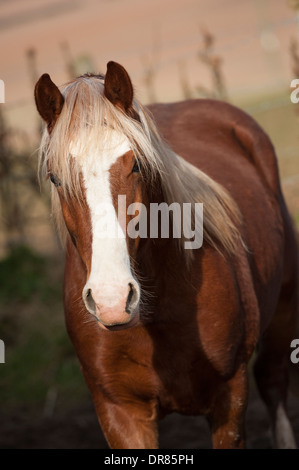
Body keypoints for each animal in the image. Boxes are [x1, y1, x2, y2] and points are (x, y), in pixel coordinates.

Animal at [34, 61, 298, 448]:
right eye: (55, 178)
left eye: (136, 165)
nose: (112, 299)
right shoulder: (120, 413)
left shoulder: (230, 399)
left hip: (282, 312)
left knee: (274, 382)